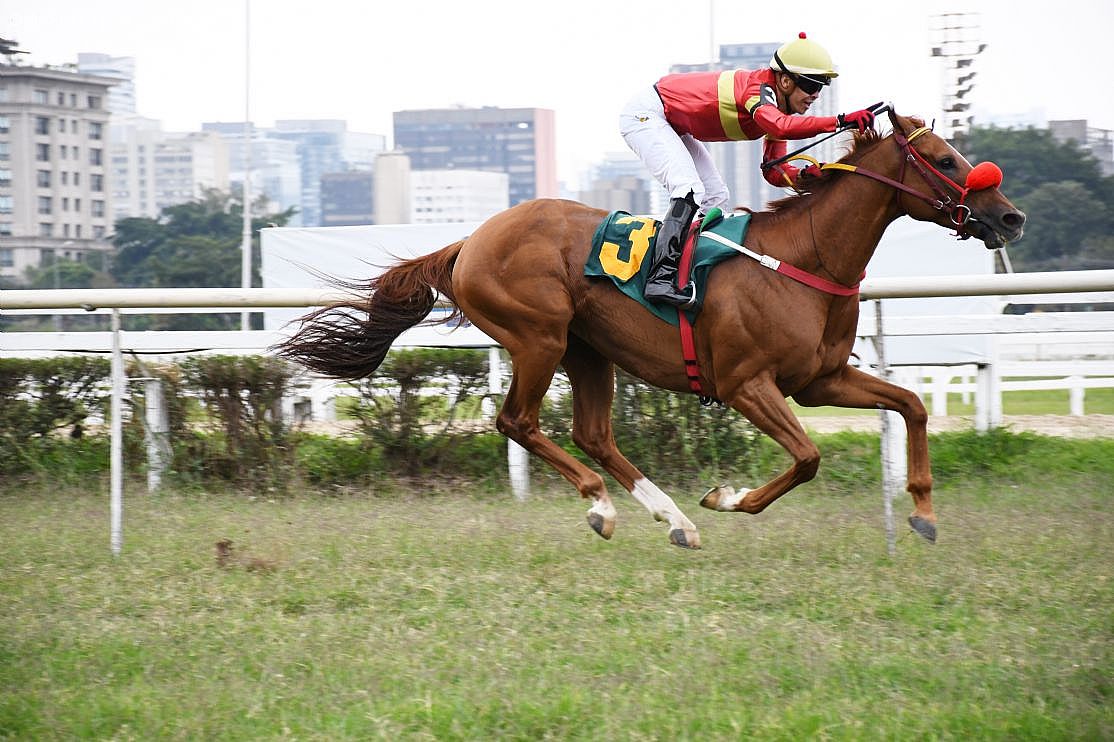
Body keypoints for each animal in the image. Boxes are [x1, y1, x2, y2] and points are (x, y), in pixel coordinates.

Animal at [278, 111, 1024, 548]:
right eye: (948, 161)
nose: (1009, 217)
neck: (805, 259)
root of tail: (470, 241)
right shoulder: (747, 383)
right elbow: (809, 458)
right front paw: (728, 497)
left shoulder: (821, 378)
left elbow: (912, 404)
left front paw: (923, 512)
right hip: (540, 337)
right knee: (518, 422)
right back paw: (604, 508)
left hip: (587, 350)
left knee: (593, 433)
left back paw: (674, 520)